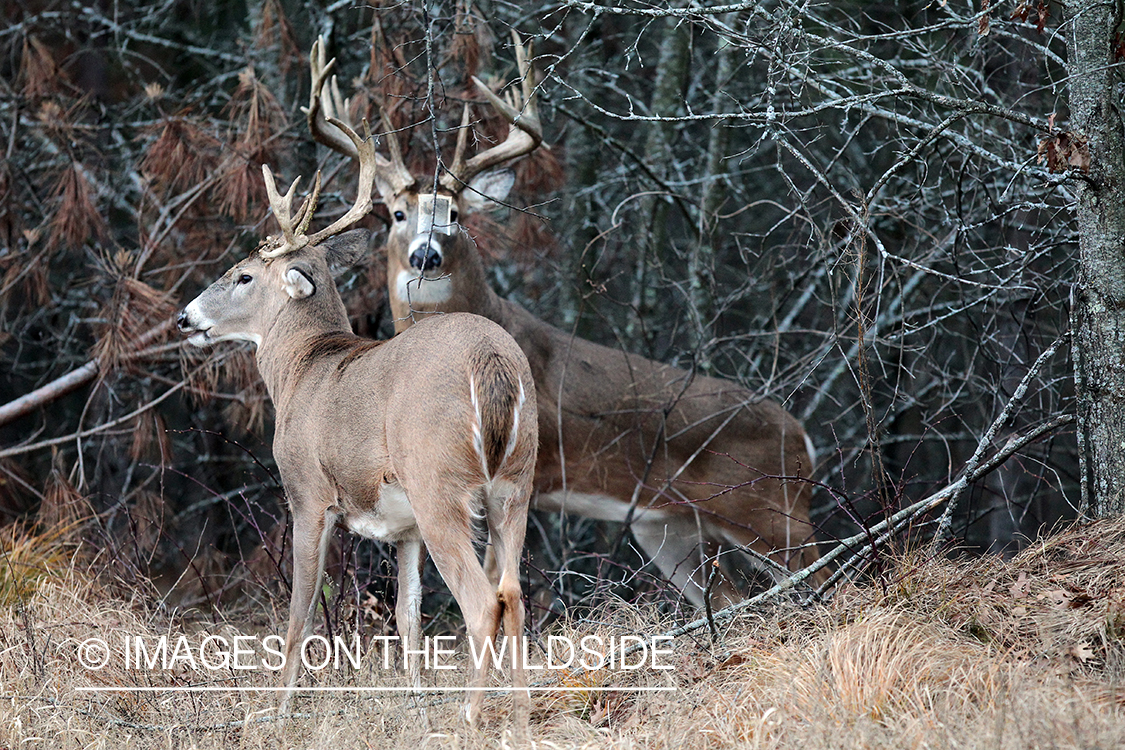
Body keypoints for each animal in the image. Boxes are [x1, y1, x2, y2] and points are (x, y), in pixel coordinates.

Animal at [176, 117, 535, 733]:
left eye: (242, 276)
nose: (185, 317)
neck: (303, 365)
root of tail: (492, 361)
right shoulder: (405, 527)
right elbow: (408, 616)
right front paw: (414, 705)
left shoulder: (307, 493)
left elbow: (299, 610)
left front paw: (276, 711)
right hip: (516, 482)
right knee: (512, 592)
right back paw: (519, 714)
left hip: (439, 483)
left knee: (482, 600)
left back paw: (468, 716)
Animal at [303, 36, 823, 611]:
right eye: (398, 214)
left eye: (454, 215)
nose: (425, 255)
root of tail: (803, 437)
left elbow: (493, 575)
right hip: (669, 527)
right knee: (728, 597)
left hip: (772, 509)